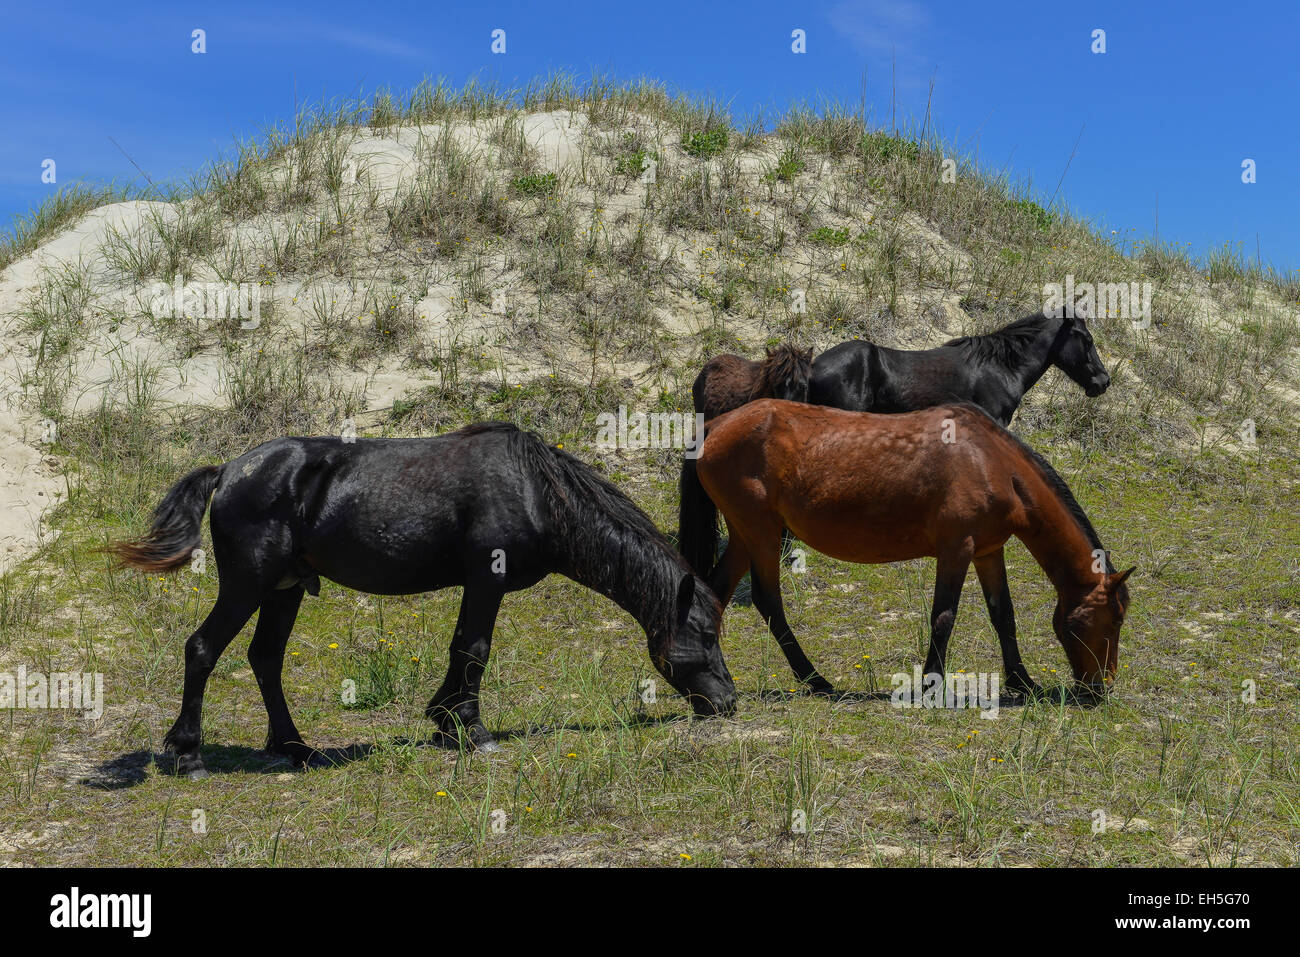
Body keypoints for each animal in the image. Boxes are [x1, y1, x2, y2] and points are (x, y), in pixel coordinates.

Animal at [110, 422, 736, 776]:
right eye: (706, 633)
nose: (728, 702)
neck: (534, 489)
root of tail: (229, 470)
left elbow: (463, 649)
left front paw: (445, 721)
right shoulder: (485, 582)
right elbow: (475, 648)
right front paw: (470, 729)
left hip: (284, 591)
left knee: (265, 659)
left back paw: (295, 748)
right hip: (247, 587)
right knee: (202, 649)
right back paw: (189, 754)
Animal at [679, 399, 1134, 700]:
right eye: (1114, 619)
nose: (1102, 686)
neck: (990, 462)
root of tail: (716, 425)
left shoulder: (988, 552)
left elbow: (1003, 615)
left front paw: (1022, 681)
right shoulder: (957, 549)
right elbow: (944, 617)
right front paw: (932, 684)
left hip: (745, 535)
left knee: (714, 593)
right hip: (761, 533)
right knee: (767, 601)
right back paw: (816, 680)